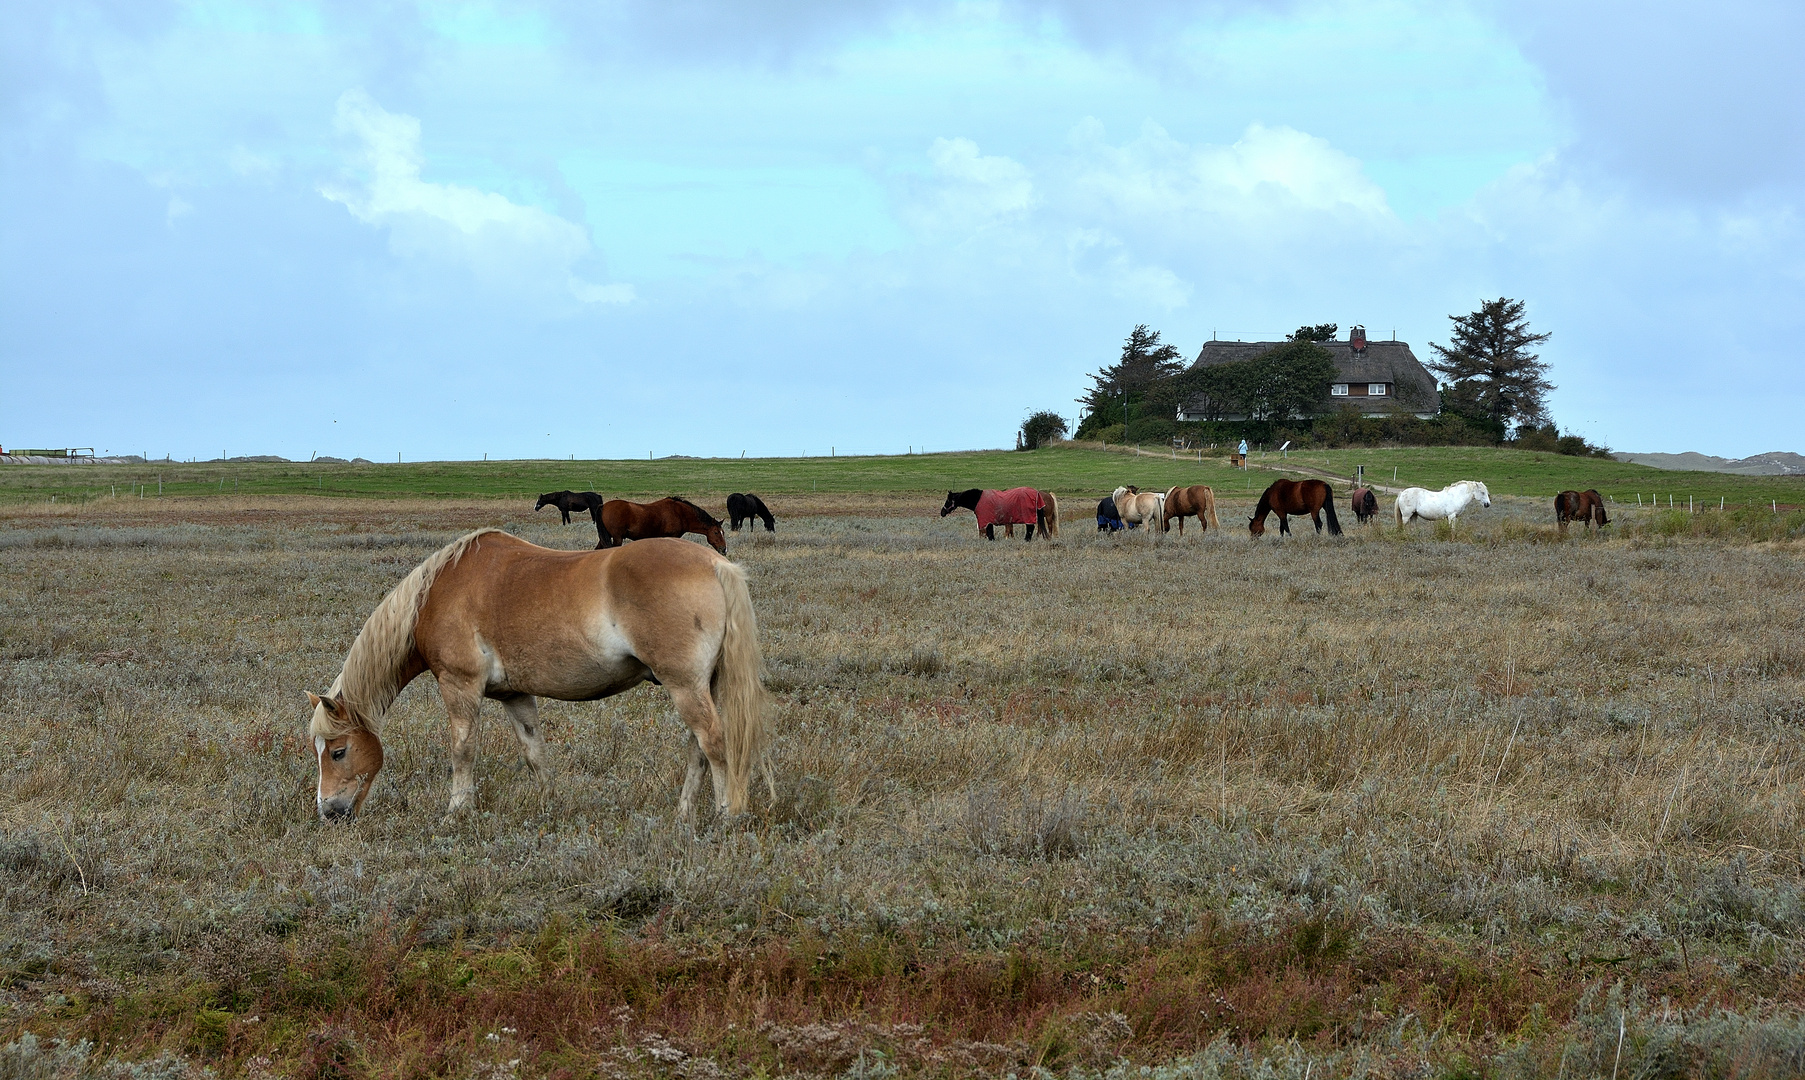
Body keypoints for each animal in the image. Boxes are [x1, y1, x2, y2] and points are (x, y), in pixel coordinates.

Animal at [305, 538, 768, 827]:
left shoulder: (460, 686)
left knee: (713, 743)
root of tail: (715, 563)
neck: (435, 595)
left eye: (338, 751)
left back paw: (726, 815)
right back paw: (684, 815)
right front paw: (550, 806)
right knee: (698, 749)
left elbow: (462, 751)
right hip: (699, 686)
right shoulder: (515, 695)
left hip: (685, 686)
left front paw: (457, 811)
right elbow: (534, 753)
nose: (328, 811)